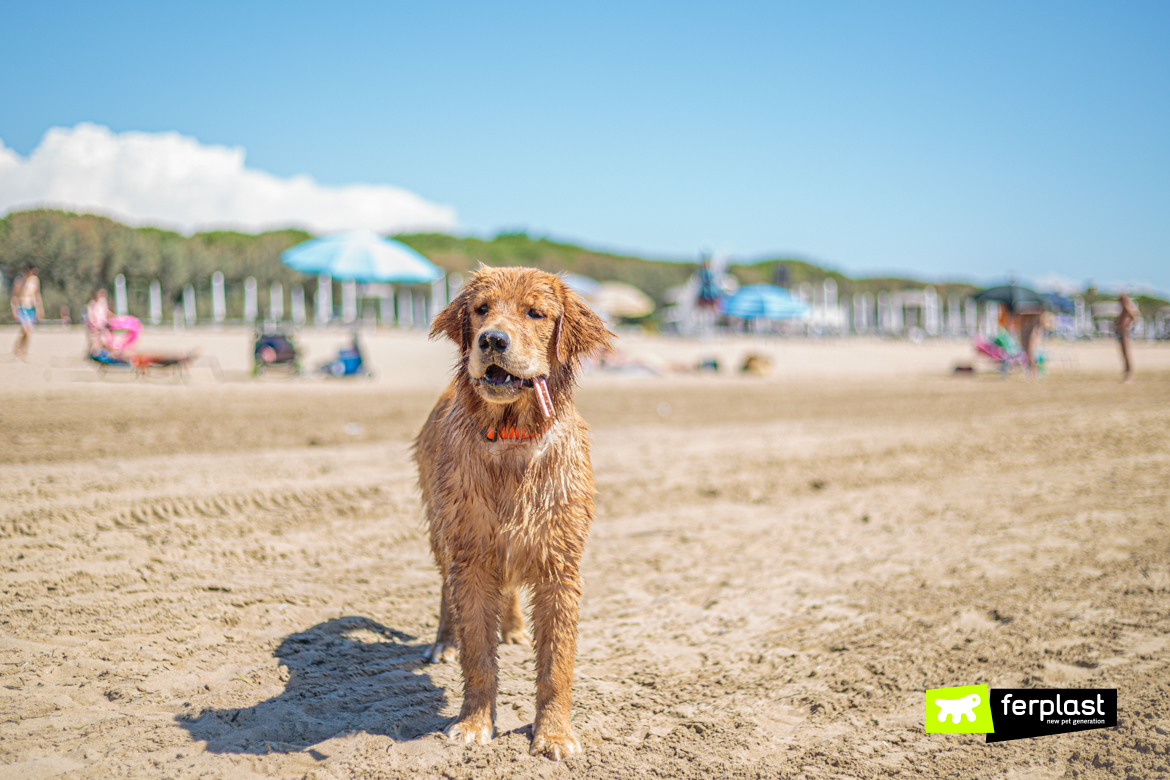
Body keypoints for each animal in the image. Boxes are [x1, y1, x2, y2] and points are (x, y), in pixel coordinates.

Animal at [414, 265, 613, 757]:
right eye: (481, 309)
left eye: (535, 313)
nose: (491, 340)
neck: (511, 440)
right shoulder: (470, 556)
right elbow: (478, 658)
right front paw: (473, 724)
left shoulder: (560, 565)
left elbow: (557, 665)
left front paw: (554, 733)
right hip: (441, 530)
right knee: (446, 589)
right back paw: (444, 642)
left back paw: (516, 628)